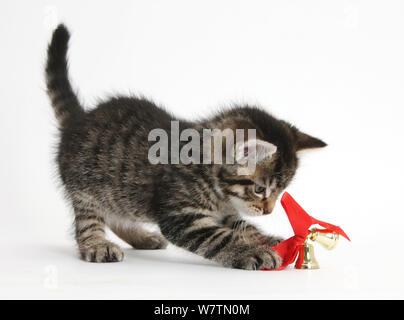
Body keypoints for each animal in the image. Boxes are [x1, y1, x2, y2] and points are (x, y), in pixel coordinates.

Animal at [45, 25, 326, 268]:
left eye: (280, 191)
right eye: (259, 189)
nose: (269, 211)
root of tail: (79, 119)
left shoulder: (226, 211)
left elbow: (245, 227)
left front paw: (269, 239)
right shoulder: (181, 215)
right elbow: (221, 237)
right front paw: (252, 251)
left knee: (117, 216)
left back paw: (141, 237)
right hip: (85, 188)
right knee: (88, 220)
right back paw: (97, 244)